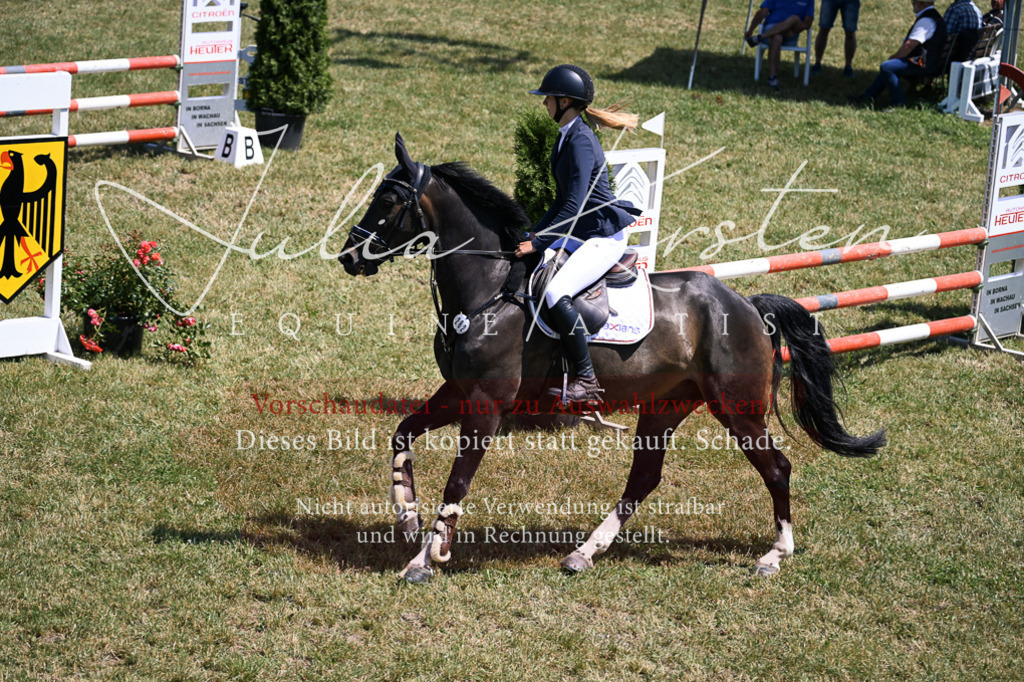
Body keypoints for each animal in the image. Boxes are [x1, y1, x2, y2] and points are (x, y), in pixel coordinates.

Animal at [338, 133, 885, 584]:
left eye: (389, 200)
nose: (348, 256)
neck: (488, 291)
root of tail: (747, 305)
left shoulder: (487, 403)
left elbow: (458, 480)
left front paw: (428, 558)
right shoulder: (457, 392)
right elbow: (403, 433)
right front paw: (407, 515)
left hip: (737, 407)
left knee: (777, 467)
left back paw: (776, 554)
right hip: (666, 405)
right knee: (644, 477)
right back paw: (584, 552)